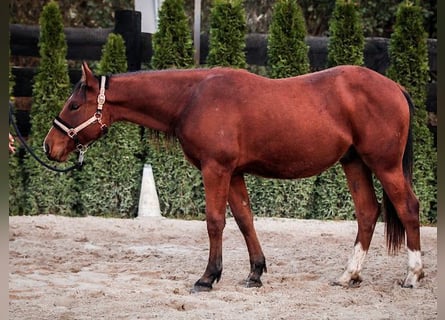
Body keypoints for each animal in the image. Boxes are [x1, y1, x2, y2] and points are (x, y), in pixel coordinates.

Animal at [44, 61, 424, 292]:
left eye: (74, 105)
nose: (50, 146)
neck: (192, 97)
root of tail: (396, 88)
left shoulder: (216, 169)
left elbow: (215, 221)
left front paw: (208, 277)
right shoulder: (235, 173)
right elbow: (244, 219)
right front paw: (255, 273)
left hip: (384, 165)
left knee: (408, 208)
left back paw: (413, 275)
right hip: (354, 163)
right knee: (367, 212)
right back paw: (349, 275)